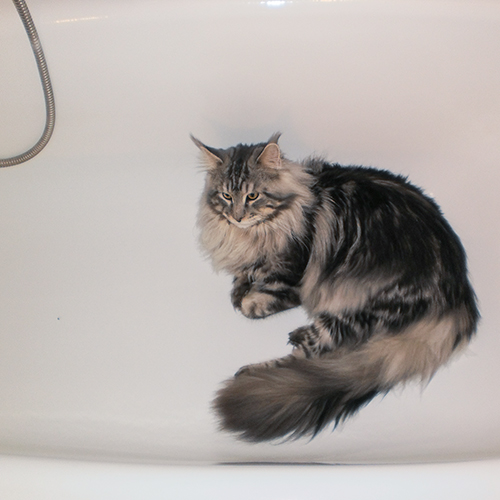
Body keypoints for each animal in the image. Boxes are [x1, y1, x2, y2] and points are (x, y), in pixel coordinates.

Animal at [192, 133, 479, 442]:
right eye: (226, 196)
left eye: (253, 196)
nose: (237, 217)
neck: (257, 232)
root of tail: (460, 289)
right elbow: (242, 277)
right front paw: (239, 286)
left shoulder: (292, 274)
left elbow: (258, 300)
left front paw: (248, 299)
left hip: (356, 312)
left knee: (309, 352)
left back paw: (255, 370)